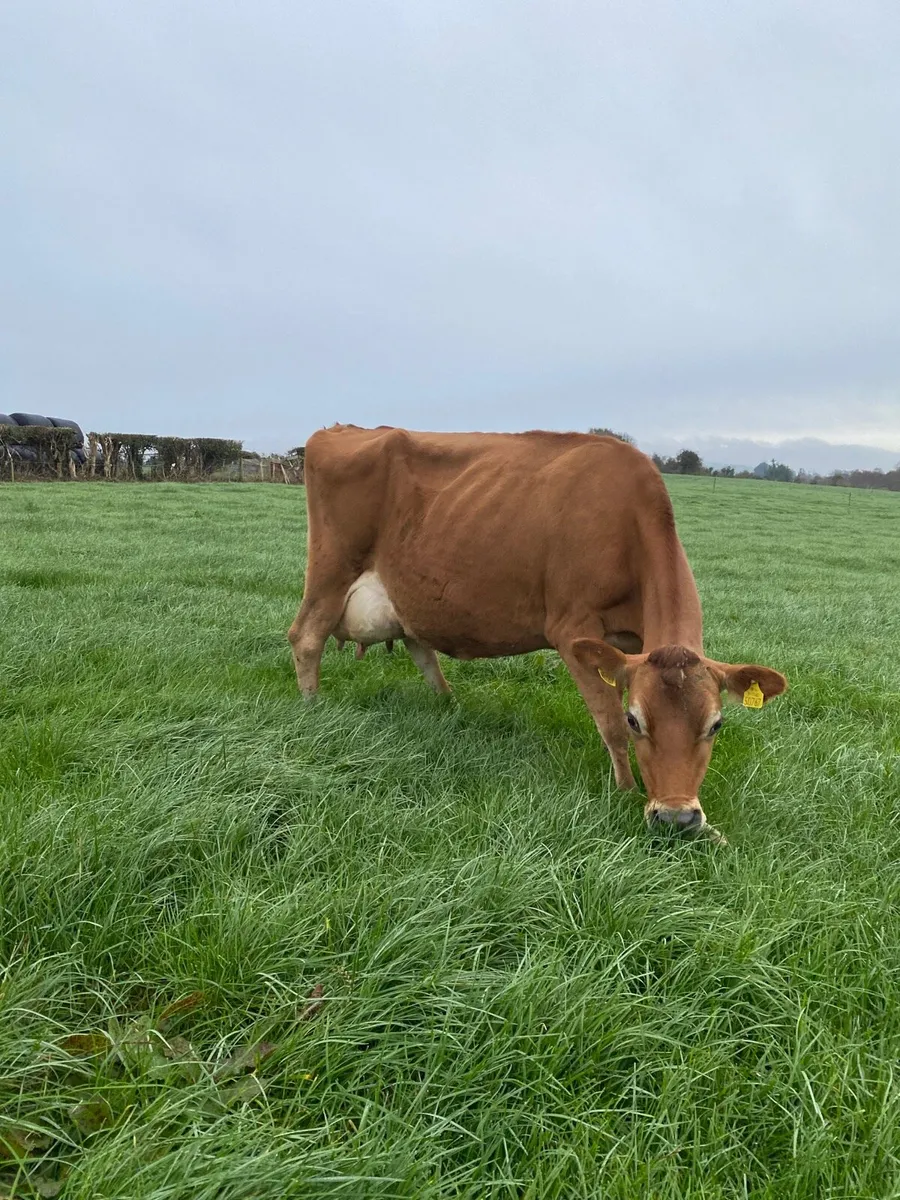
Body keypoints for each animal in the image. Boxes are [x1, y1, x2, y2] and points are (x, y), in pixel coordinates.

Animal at [288, 425, 787, 835]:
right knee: (305, 637)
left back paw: (449, 707)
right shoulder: (572, 628)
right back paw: (312, 709)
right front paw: (625, 793)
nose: (676, 818)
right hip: (330, 570)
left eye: (716, 724)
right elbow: (607, 723)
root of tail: (339, 429)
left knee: (419, 646)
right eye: (636, 719)